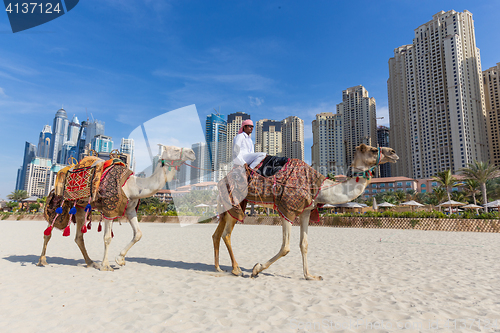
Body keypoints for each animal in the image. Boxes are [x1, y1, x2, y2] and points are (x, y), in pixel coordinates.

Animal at [37, 145, 195, 270]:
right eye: (175, 149)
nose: (192, 152)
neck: (132, 186)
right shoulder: (109, 209)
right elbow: (107, 237)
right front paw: (106, 266)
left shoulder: (130, 210)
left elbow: (138, 234)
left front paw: (120, 259)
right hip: (60, 201)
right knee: (48, 231)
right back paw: (42, 261)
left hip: (80, 207)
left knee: (78, 237)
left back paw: (90, 263)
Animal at [212, 143, 398, 278]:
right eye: (373, 149)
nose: (393, 152)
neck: (319, 187)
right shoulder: (287, 209)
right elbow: (286, 247)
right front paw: (257, 268)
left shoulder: (306, 212)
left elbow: (304, 244)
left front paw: (310, 276)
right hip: (235, 201)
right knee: (226, 234)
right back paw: (236, 269)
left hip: (232, 205)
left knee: (217, 234)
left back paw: (220, 268)